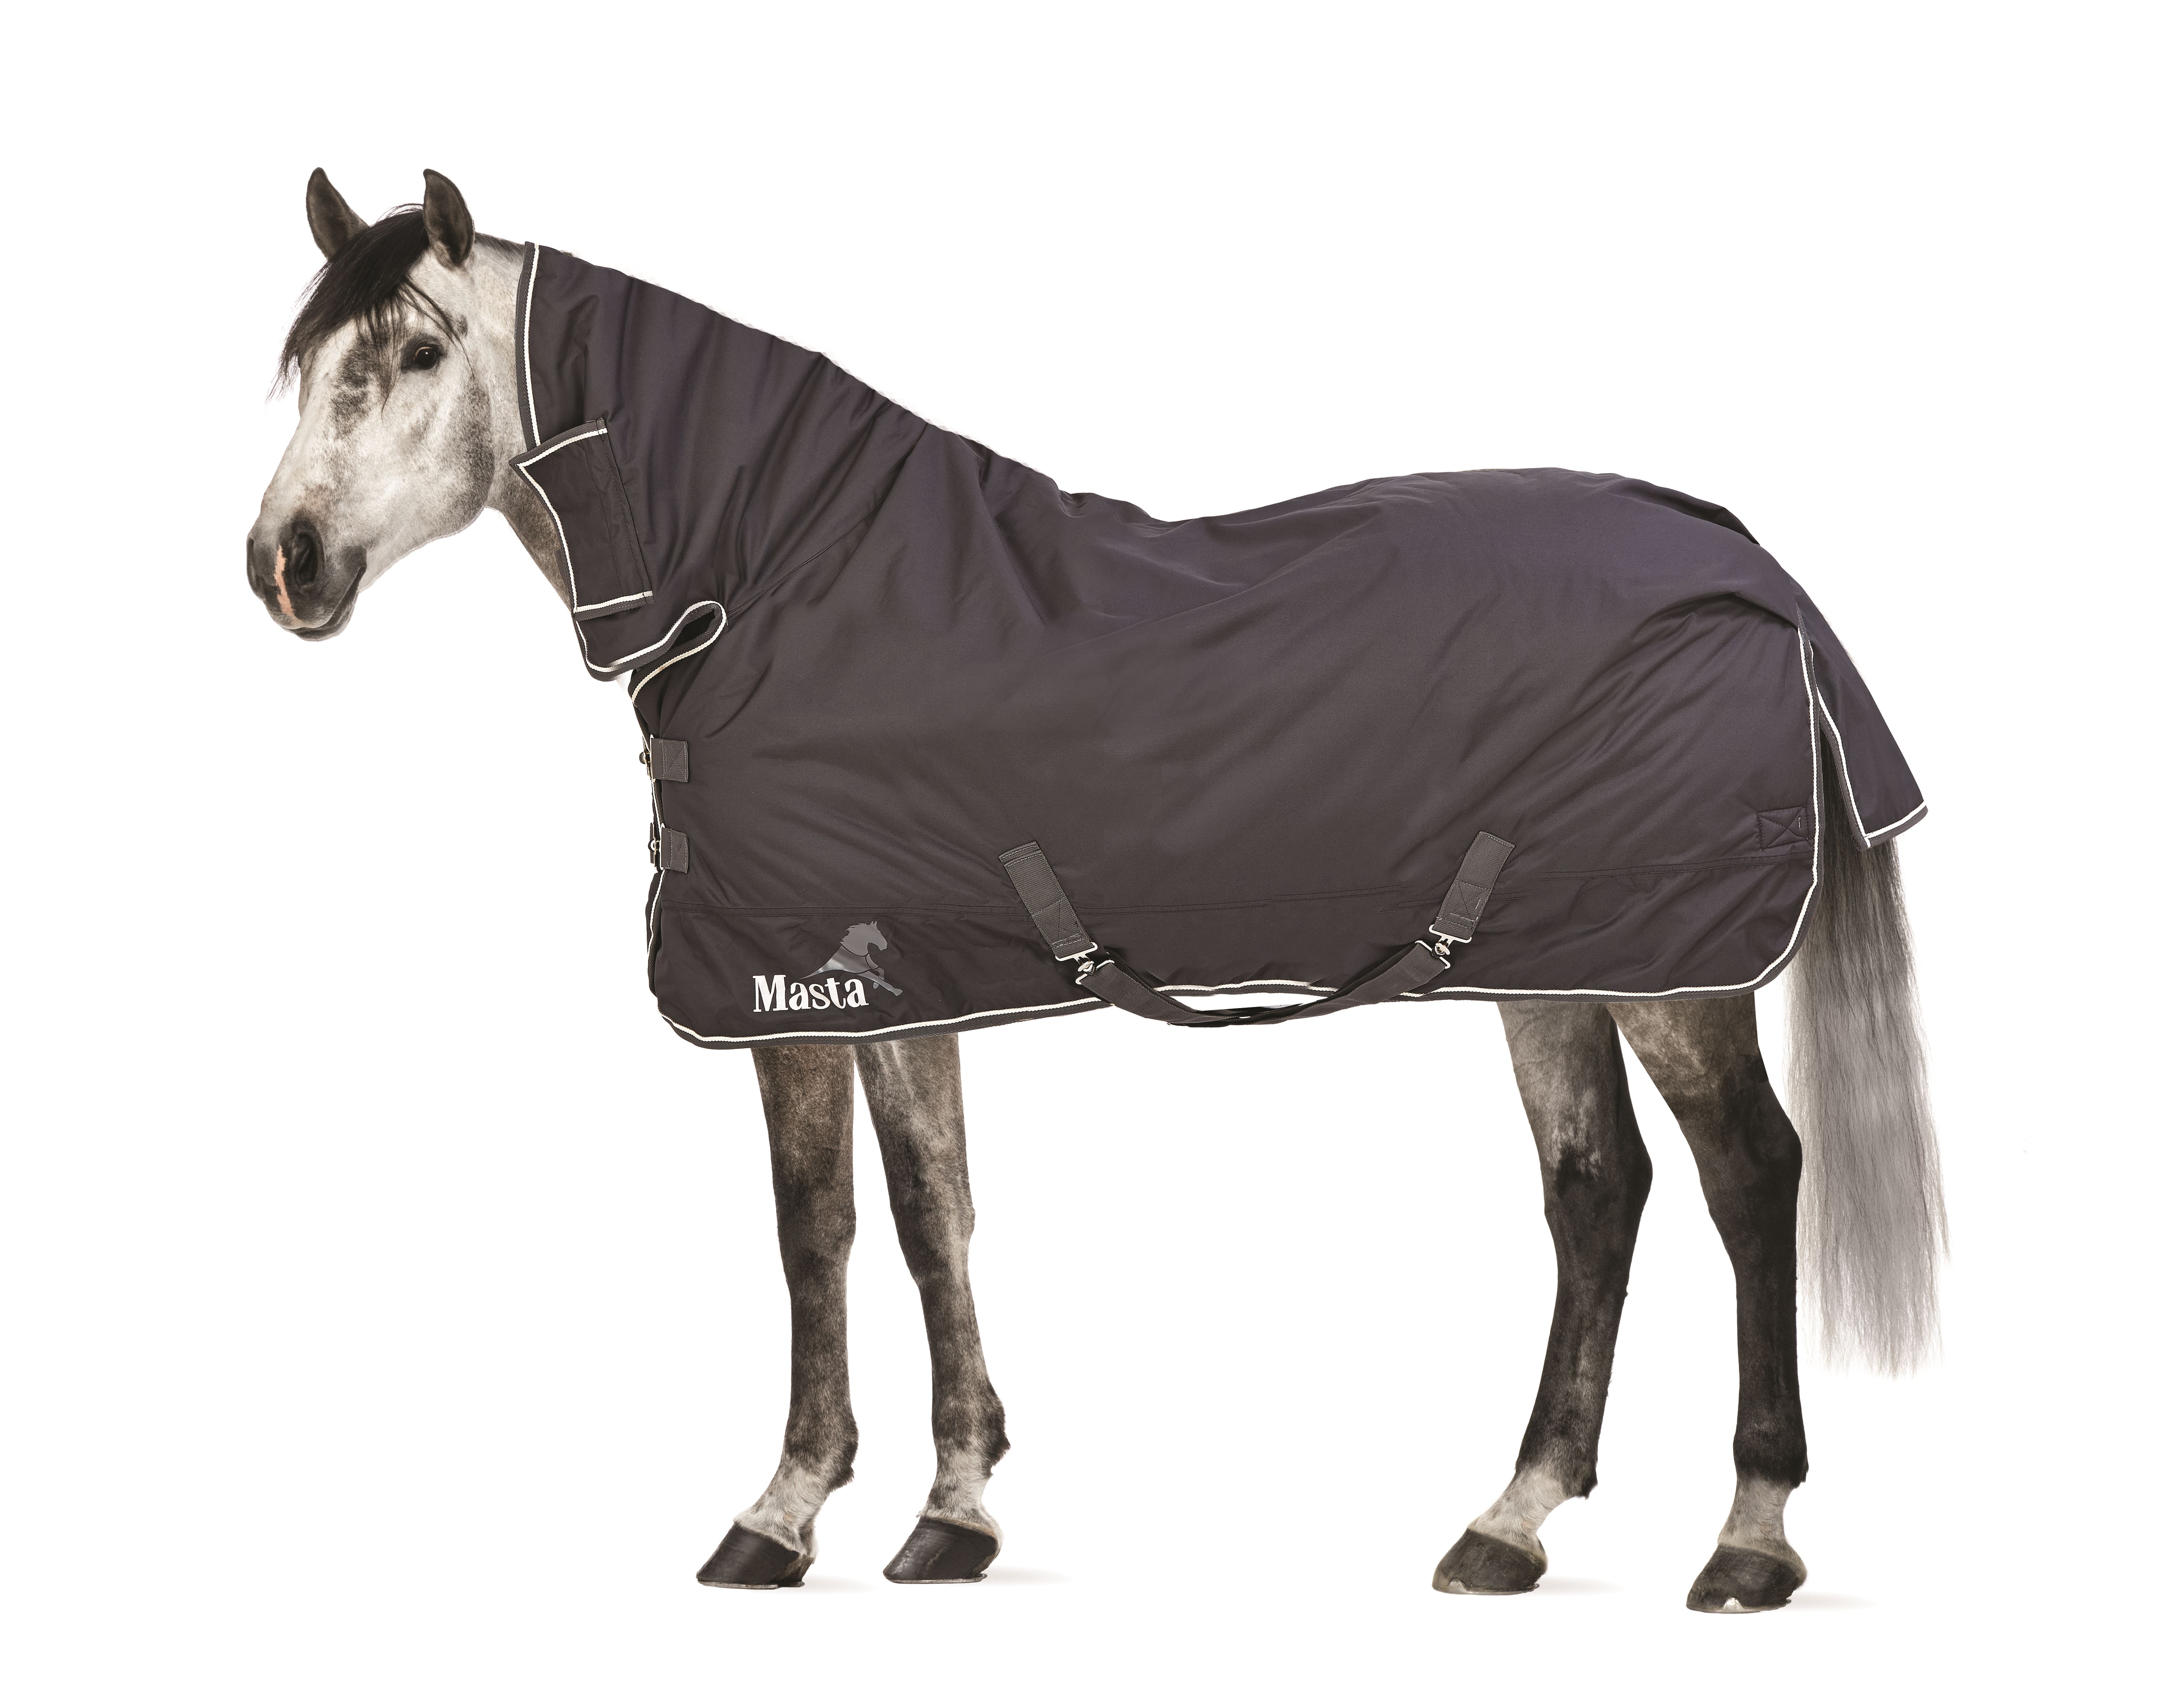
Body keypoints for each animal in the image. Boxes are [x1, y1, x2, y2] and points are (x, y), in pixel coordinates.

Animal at [247, 168, 1943, 1611]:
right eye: (306, 364)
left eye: (413, 351)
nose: (287, 561)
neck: (784, 575)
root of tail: (1749, 572)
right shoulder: (900, 980)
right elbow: (930, 1210)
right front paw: (951, 1510)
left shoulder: (794, 991)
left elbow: (818, 1227)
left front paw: (781, 1515)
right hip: (1557, 962)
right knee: (1597, 1191)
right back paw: (1506, 1525)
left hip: (1674, 973)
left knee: (1748, 1179)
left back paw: (1748, 1542)